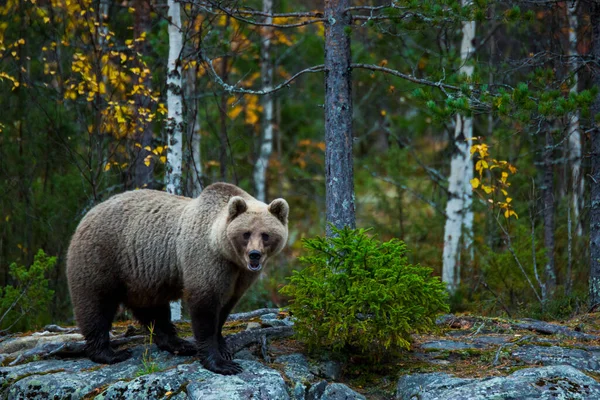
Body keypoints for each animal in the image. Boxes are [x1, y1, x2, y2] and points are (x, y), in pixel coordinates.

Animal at [67, 182, 290, 376]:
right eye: (246, 233)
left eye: (265, 234)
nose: (254, 255)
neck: (225, 252)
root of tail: (87, 215)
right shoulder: (206, 261)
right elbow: (205, 309)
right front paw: (221, 363)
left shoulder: (239, 277)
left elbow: (225, 308)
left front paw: (224, 346)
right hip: (103, 257)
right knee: (96, 304)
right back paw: (111, 353)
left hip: (142, 277)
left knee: (153, 310)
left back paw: (179, 344)